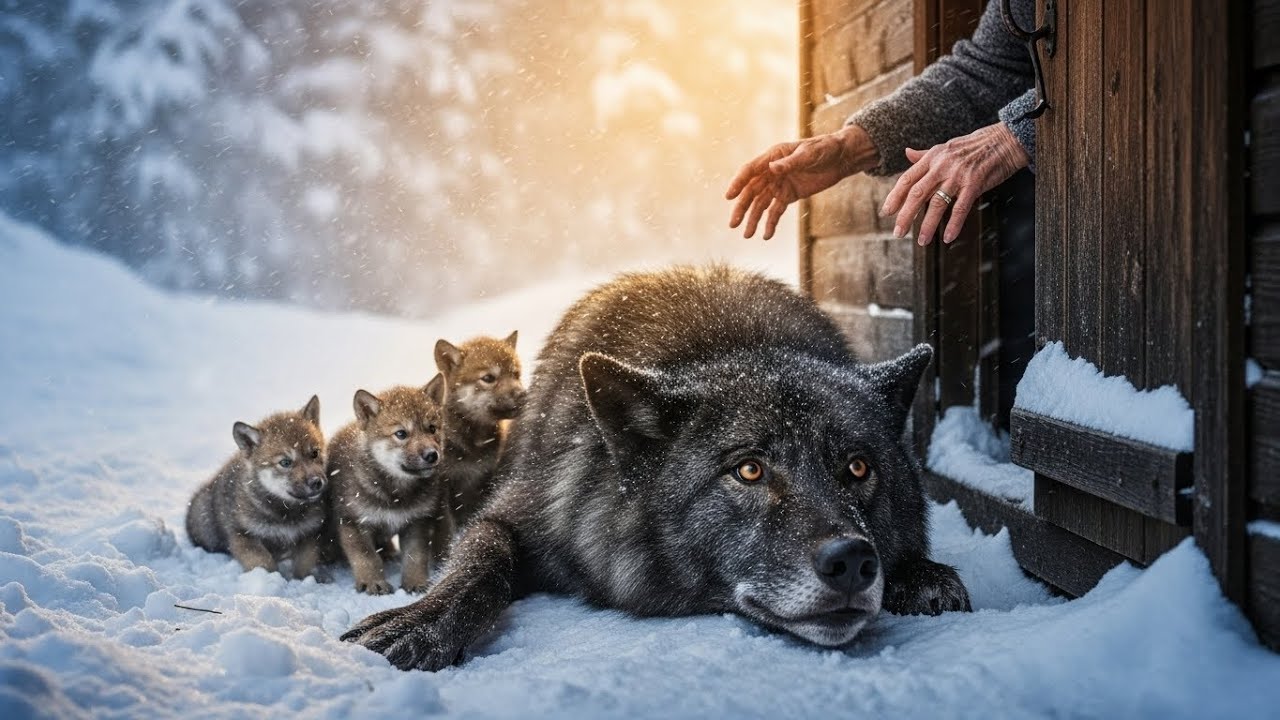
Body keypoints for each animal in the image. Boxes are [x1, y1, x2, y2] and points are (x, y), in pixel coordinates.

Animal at [186, 395, 328, 580]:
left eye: (314, 453)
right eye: (285, 462)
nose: (316, 482)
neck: (286, 513)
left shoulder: (310, 533)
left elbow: (305, 563)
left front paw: (305, 579)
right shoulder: (243, 535)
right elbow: (263, 562)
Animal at [326, 377, 448, 594]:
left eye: (432, 428)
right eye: (401, 434)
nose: (432, 455)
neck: (396, 493)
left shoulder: (416, 522)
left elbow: (415, 557)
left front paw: (415, 582)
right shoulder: (353, 522)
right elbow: (367, 558)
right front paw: (373, 582)